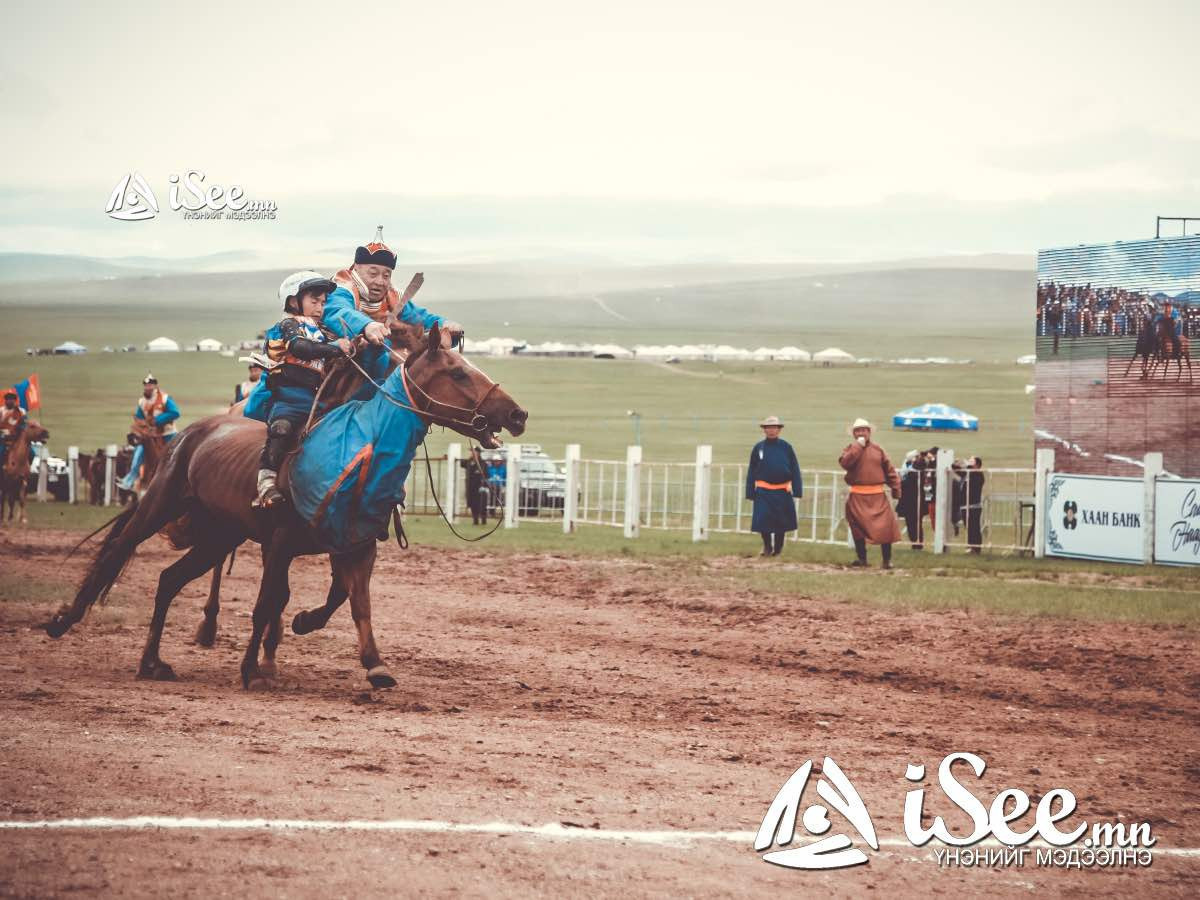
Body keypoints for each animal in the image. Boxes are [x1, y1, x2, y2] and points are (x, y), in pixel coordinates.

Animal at [46, 324, 525, 691]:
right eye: (457, 372)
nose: (517, 414)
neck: (359, 445)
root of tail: (193, 434)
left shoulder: (356, 545)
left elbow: (354, 602)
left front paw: (370, 662)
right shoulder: (279, 541)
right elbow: (267, 602)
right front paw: (252, 669)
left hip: (220, 535)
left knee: (168, 581)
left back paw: (152, 662)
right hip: (161, 505)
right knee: (117, 551)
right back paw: (64, 620)